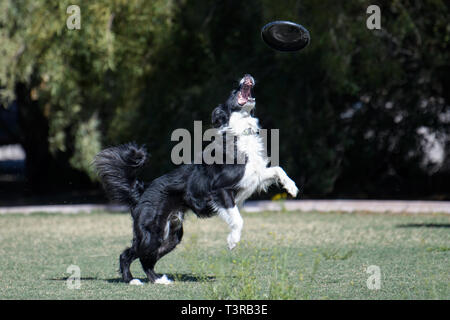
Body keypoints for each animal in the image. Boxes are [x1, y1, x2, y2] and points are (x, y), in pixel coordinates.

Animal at [94, 75, 298, 284]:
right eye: (233, 91)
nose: (247, 76)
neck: (239, 133)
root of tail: (143, 190)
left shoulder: (253, 175)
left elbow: (277, 169)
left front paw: (291, 188)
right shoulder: (221, 190)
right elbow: (237, 218)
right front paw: (232, 241)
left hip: (171, 235)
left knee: (146, 258)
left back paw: (158, 279)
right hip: (152, 232)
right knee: (128, 254)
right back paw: (132, 280)